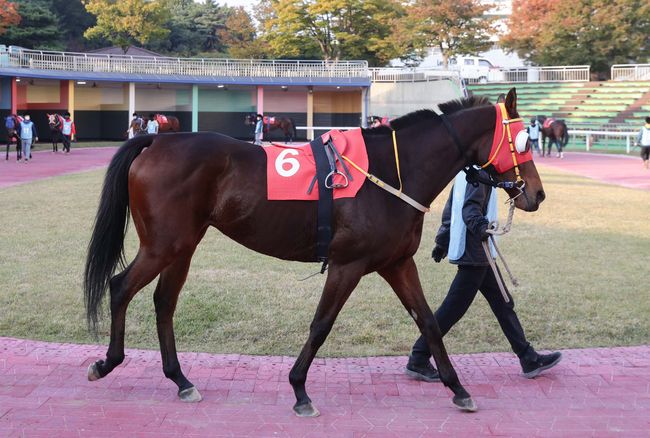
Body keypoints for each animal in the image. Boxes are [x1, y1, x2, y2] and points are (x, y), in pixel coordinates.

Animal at [82, 88, 540, 418]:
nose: (536, 194)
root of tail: (154, 142)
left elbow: (427, 320)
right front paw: (300, 389)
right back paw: (108, 362)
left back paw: (180, 380)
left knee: (163, 302)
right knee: (120, 286)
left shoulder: (396, 262)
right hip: (163, 245)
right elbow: (321, 324)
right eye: (521, 141)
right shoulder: (347, 265)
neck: (390, 173)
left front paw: (458, 387)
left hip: (183, 246)